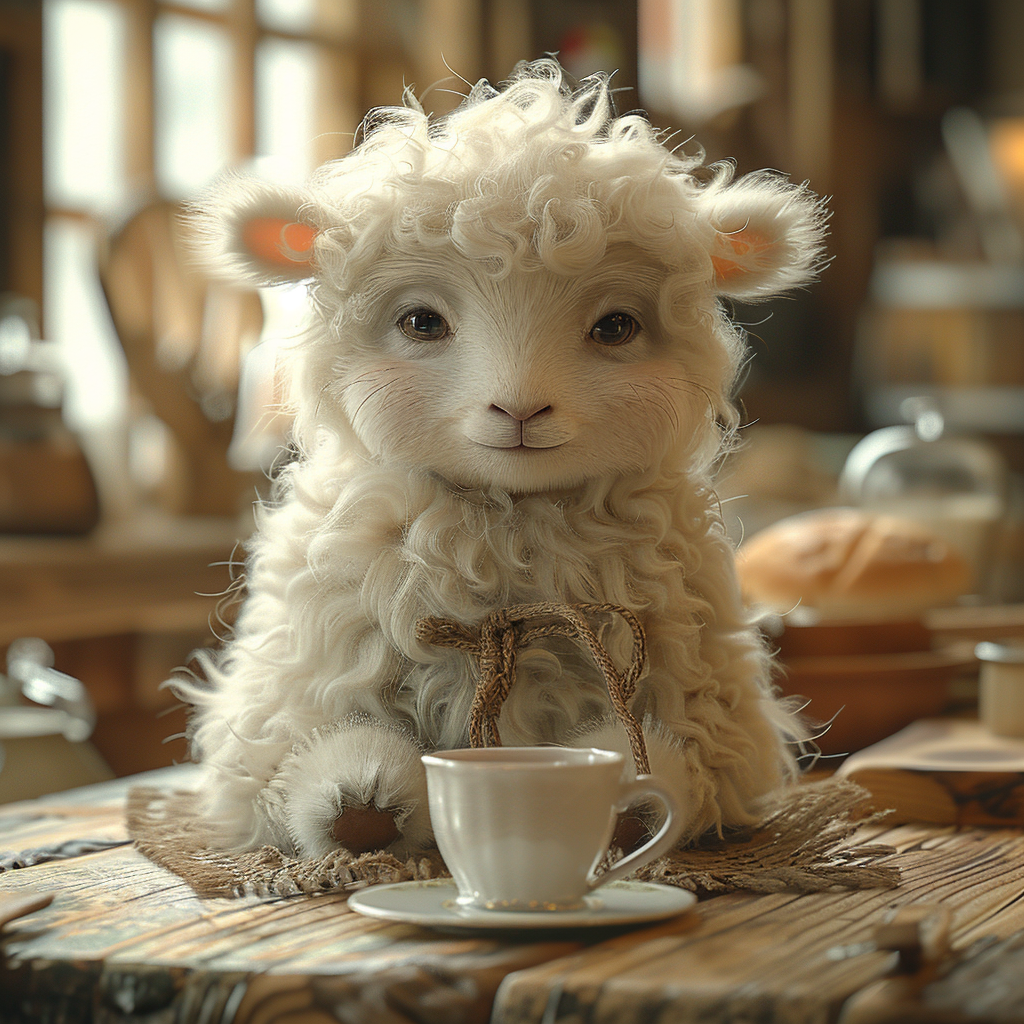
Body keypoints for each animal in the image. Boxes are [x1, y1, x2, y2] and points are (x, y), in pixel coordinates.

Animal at [180, 59, 827, 860]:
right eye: (421, 321)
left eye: (615, 327)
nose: (520, 410)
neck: (511, 525)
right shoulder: (303, 674)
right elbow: (298, 754)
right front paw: (357, 806)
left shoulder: (708, 693)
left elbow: (681, 758)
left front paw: (628, 799)